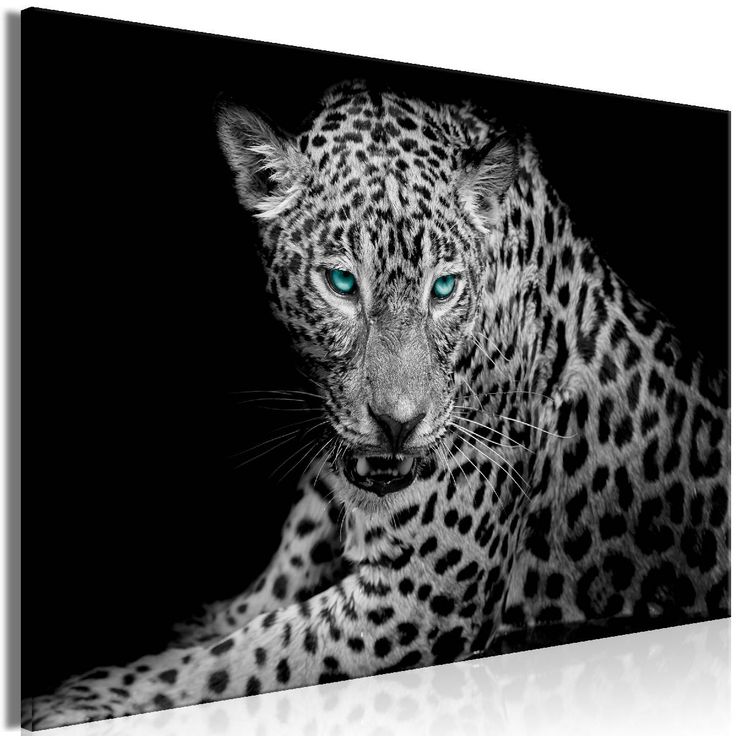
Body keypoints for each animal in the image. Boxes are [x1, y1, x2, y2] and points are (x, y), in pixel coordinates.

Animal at [23, 79, 730, 730]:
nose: (398, 424)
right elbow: (259, 599)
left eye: (444, 289)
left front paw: (82, 697)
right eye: (341, 283)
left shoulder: (422, 595)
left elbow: (237, 659)